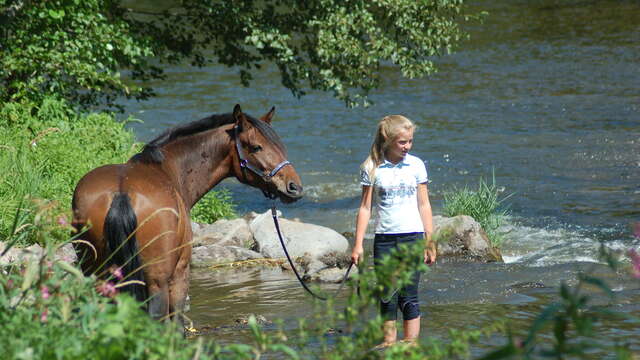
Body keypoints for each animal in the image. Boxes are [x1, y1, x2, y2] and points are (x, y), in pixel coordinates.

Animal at [71, 103, 304, 324]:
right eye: (256, 147)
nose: (294, 187)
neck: (168, 170)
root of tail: (122, 194)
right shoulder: (181, 272)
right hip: (157, 280)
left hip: (96, 274)